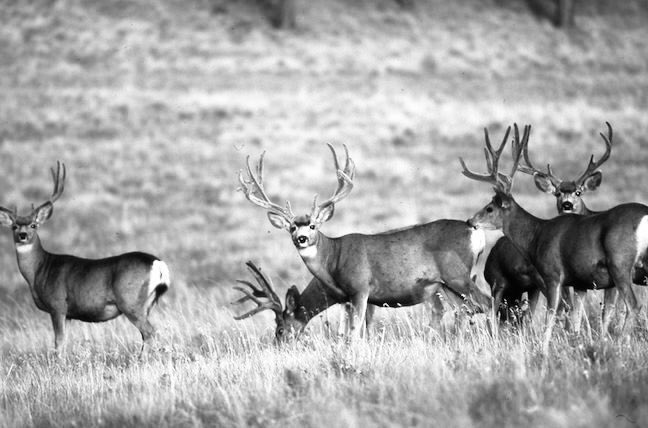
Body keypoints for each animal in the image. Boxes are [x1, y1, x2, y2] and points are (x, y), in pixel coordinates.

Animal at [0, 162, 170, 354]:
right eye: (14, 226)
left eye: (33, 225)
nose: (22, 235)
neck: (40, 270)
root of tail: (157, 263)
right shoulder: (68, 314)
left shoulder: (57, 305)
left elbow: (58, 342)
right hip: (147, 303)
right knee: (147, 334)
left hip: (130, 301)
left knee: (149, 332)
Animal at [235, 144, 491, 340]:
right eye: (291, 227)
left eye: (313, 226)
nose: (301, 238)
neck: (334, 262)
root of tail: (473, 230)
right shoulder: (351, 299)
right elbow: (348, 333)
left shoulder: (360, 289)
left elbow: (355, 332)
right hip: (445, 285)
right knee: (466, 310)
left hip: (456, 276)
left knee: (486, 303)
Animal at [460, 124, 648, 351]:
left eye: (489, 208)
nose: (470, 221)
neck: (537, 235)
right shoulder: (580, 282)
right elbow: (576, 318)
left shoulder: (553, 275)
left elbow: (551, 316)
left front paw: (543, 349)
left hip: (620, 264)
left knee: (634, 305)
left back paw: (618, 345)